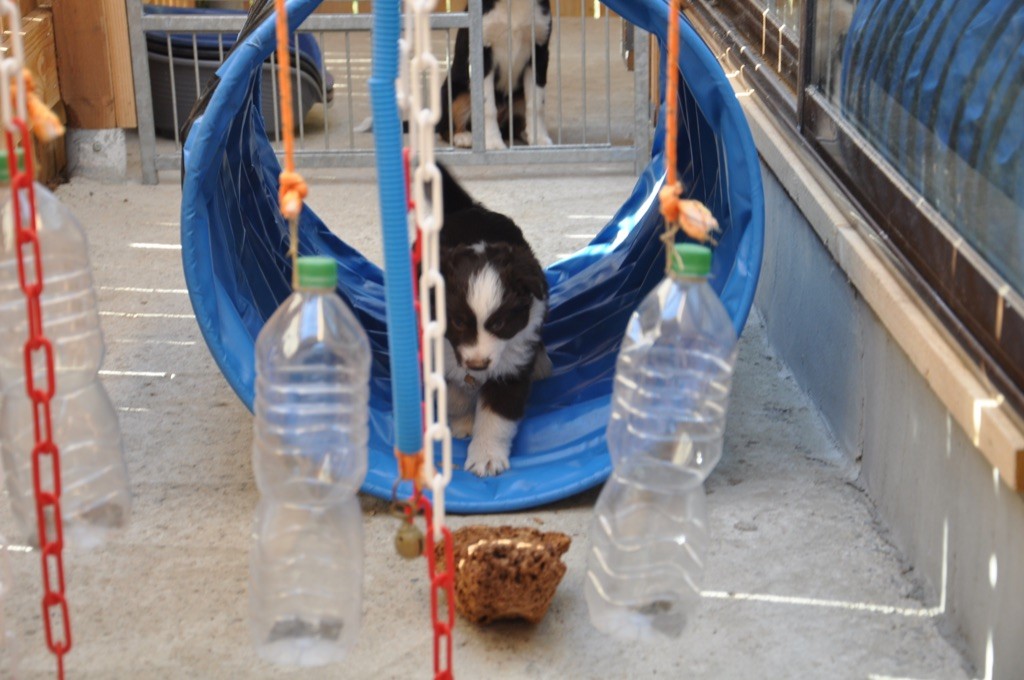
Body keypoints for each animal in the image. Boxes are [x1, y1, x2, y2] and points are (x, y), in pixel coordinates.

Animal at [435, 163, 551, 476]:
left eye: (499, 324)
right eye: (458, 322)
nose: (477, 365)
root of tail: (470, 208)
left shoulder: (511, 367)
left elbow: (496, 417)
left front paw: (486, 457)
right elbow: (453, 393)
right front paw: (463, 422)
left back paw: (542, 365)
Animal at [437, 0, 554, 150]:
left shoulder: (539, 52)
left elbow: (536, 105)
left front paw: (539, 139)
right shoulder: (483, 56)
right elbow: (488, 108)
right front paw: (493, 143)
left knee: (514, 126)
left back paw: (525, 133)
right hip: (454, 92)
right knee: (446, 127)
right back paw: (464, 137)